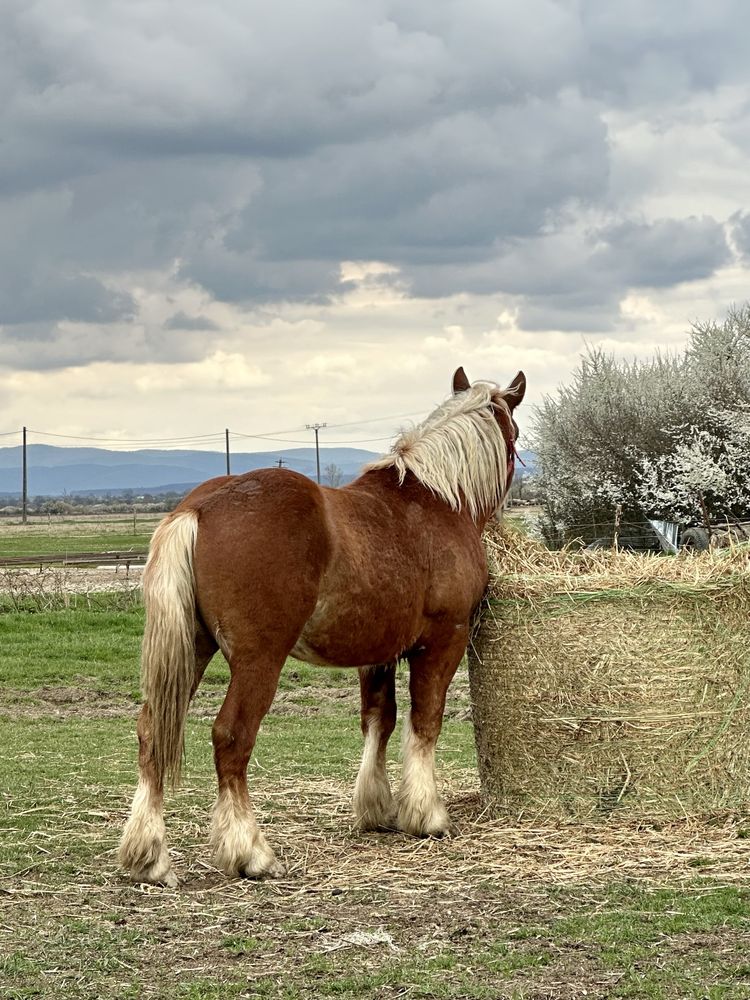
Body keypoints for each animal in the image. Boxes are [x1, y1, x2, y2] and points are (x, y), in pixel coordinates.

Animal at [120, 366, 524, 884]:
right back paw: (251, 852)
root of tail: (198, 508)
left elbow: (379, 719)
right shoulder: (442, 641)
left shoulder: (377, 653)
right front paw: (427, 815)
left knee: (152, 733)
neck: (436, 500)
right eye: (515, 434)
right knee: (231, 738)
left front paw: (376, 808)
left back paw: (149, 856)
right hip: (258, 661)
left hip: (191, 650)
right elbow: (425, 721)